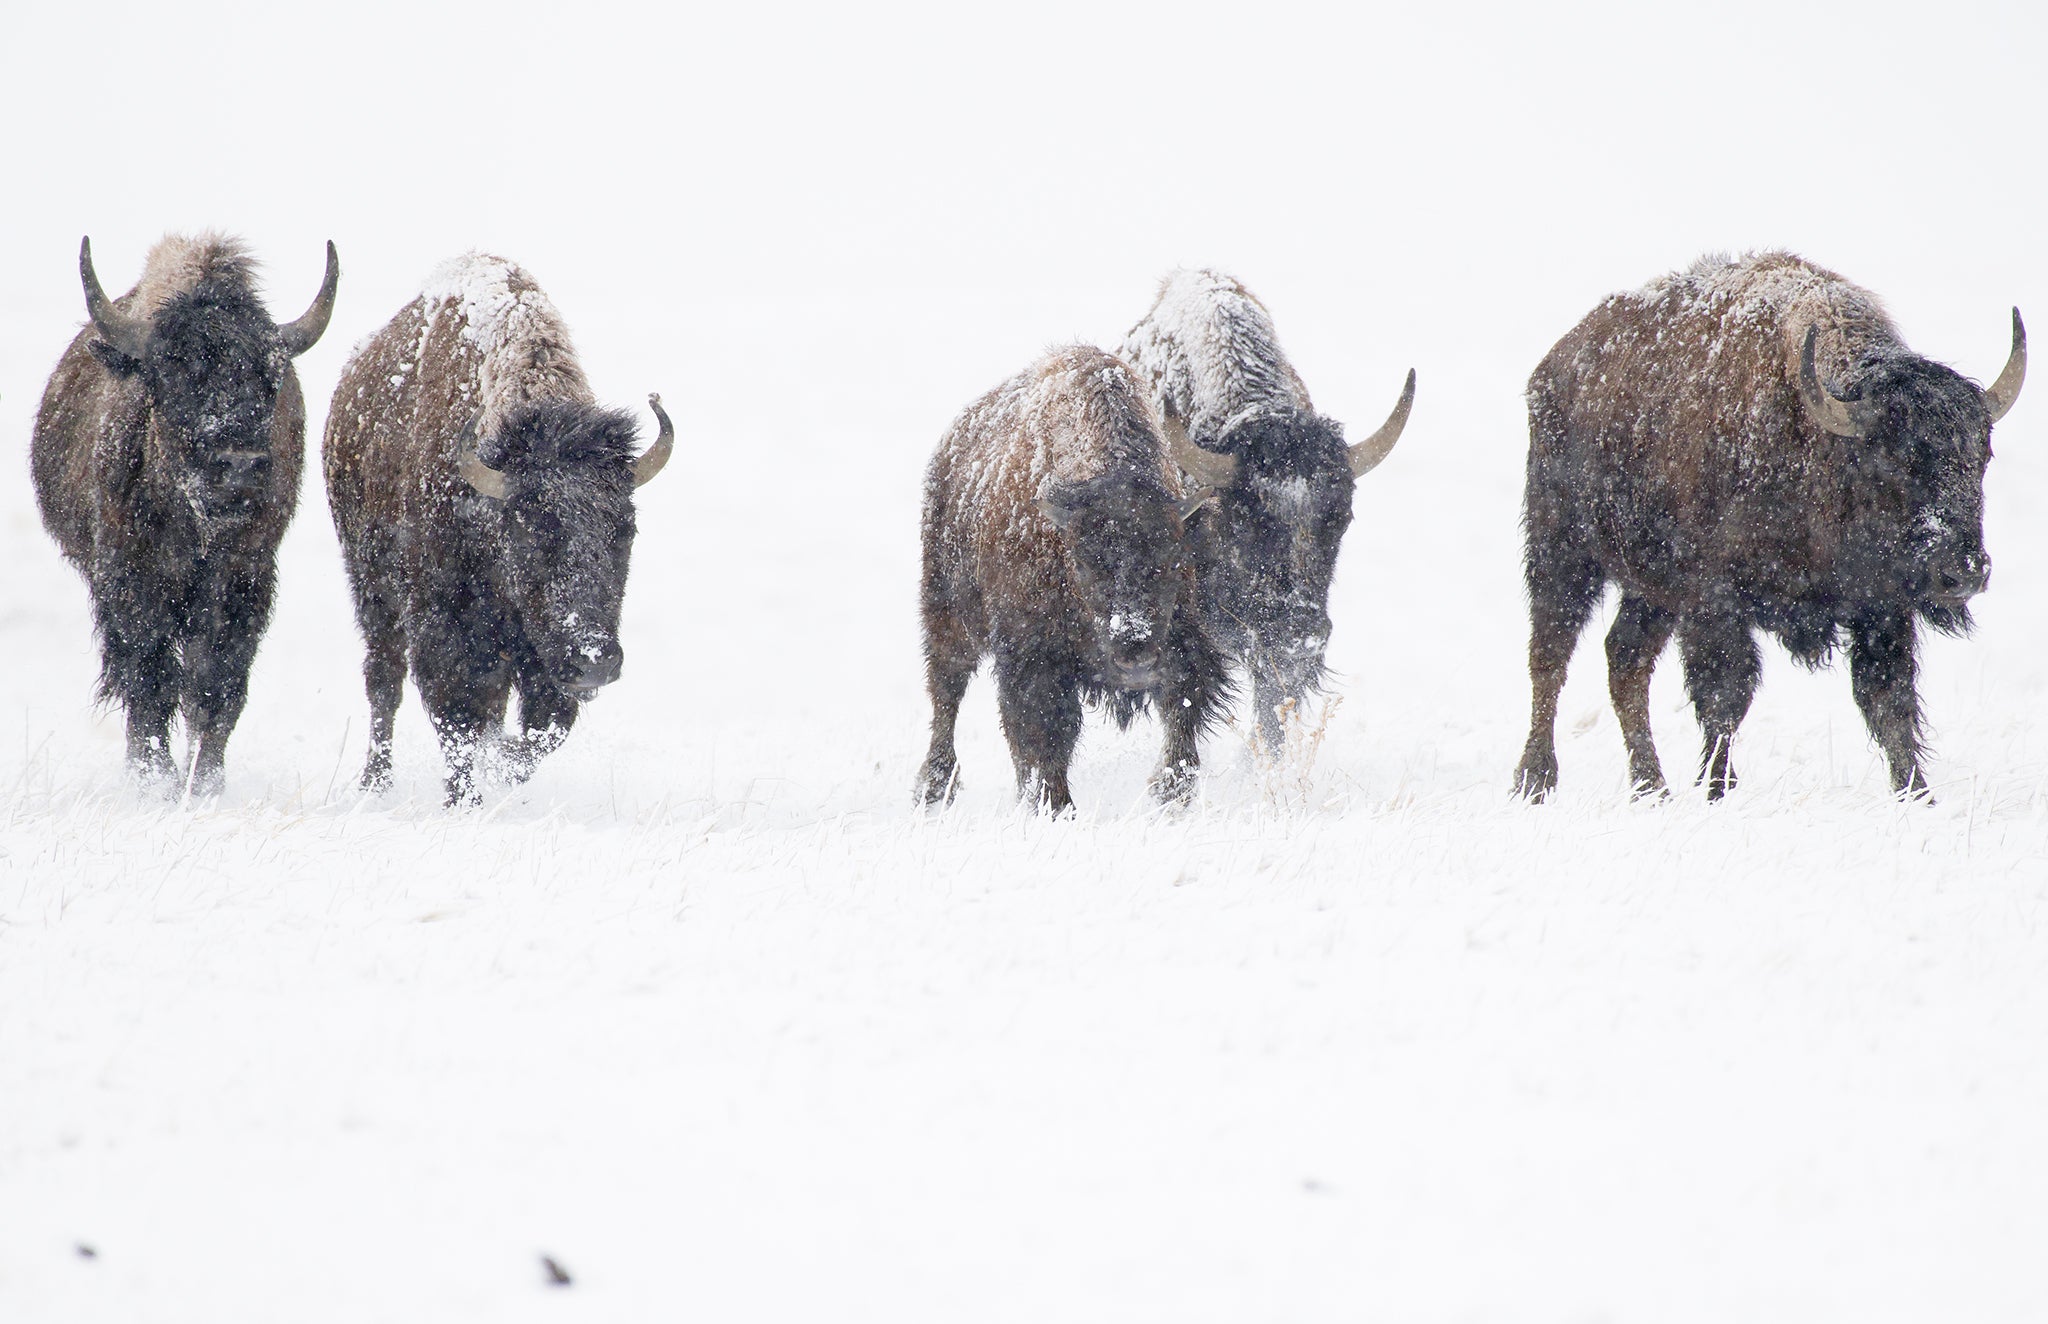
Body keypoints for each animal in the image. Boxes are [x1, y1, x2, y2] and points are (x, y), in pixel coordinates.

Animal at [29, 233, 339, 799]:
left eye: (270, 378)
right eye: (172, 372)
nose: (239, 465)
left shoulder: (244, 582)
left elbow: (216, 685)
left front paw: (205, 783)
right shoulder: (129, 582)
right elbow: (150, 679)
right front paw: (158, 782)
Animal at [319, 254, 671, 803]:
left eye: (626, 530)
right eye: (529, 530)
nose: (593, 659)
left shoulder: (539, 658)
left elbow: (539, 732)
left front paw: (500, 766)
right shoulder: (445, 634)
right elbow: (457, 721)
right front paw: (463, 798)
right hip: (371, 587)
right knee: (384, 680)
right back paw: (375, 784)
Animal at [917, 348, 1228, 815]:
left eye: (1176, 560)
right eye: (1083, 564)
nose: (1134, 658)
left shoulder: (1184, 641)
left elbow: (1182, 711)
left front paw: (1171, 794)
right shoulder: (1032, 658)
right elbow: (1046, 732)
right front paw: (1058, 808)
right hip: (948, 613)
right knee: (946, 690)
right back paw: (934, 789)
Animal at [1515, 254, 2023, 803]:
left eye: (1982, 458)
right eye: (1891, 460)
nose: (1965, 571)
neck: (1816, 443)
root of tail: (1553, 368)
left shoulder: (1882, 611)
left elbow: (1889, 703)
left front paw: (1919, 795)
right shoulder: (1716, 605)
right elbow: (1725, 698)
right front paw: (1718, 789)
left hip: (1650, 590)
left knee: (1625, 659)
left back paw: (1652, 788)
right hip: (1562, 553)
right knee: (1550, 656)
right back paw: (1535, 780)